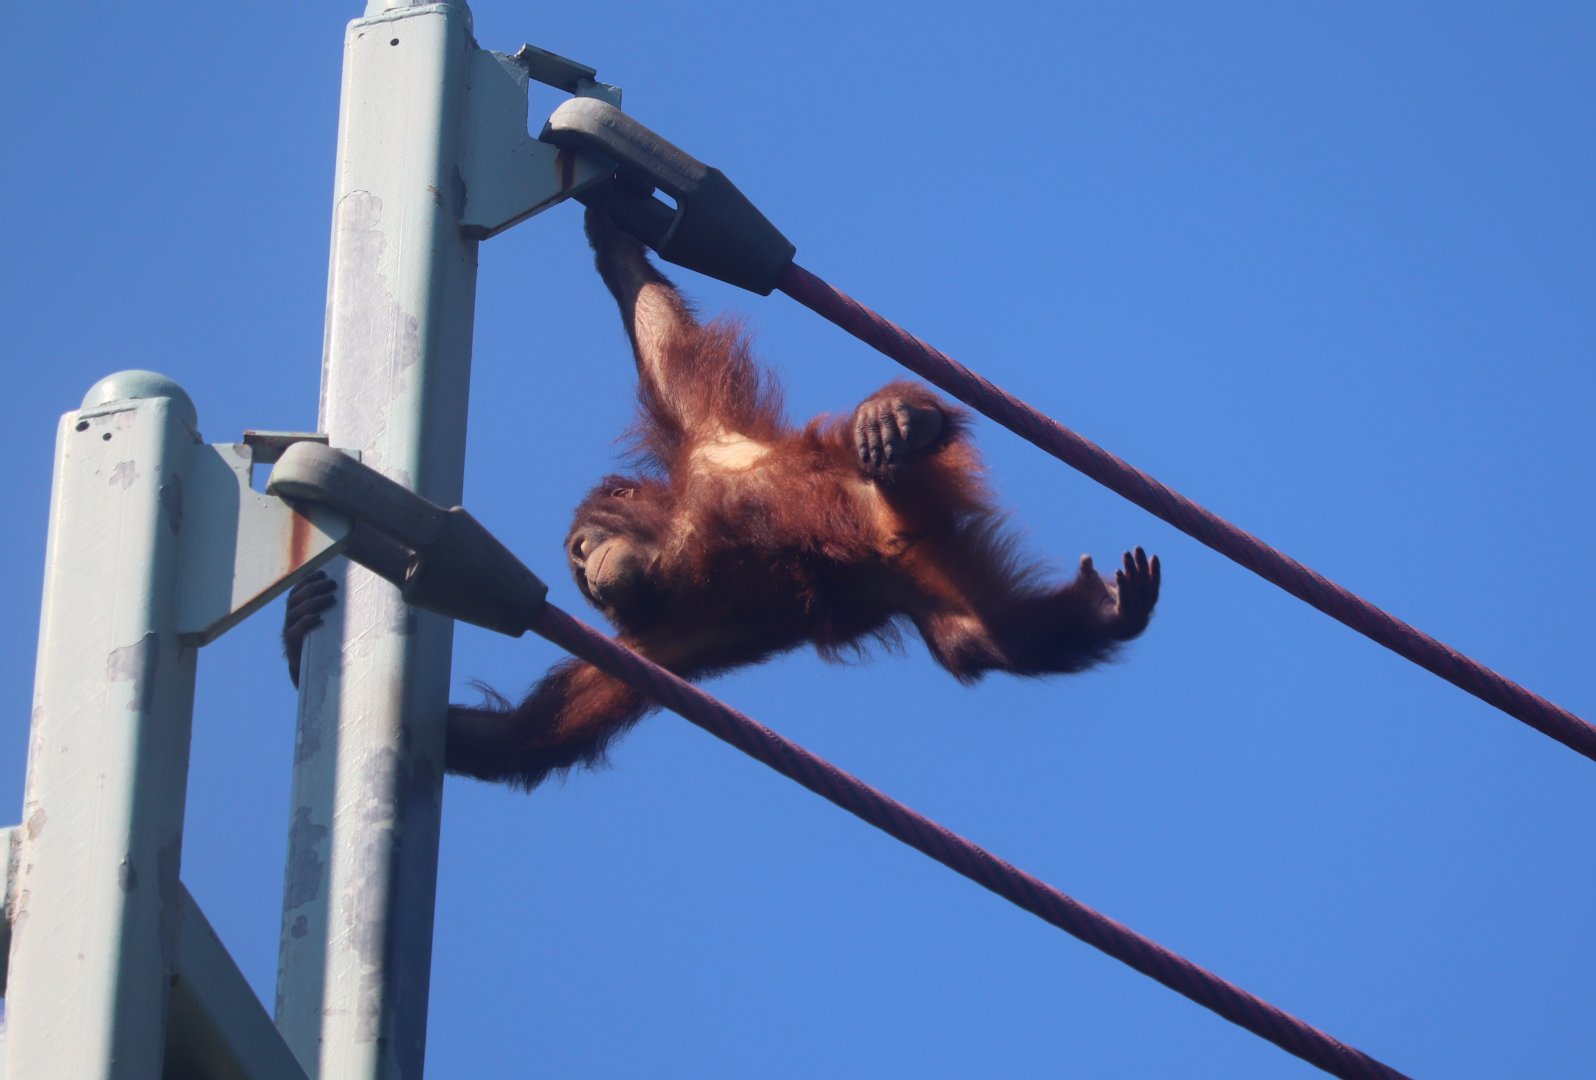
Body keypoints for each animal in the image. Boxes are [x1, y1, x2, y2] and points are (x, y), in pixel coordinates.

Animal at [284, 193, 1160, 790]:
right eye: (575, 571)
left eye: (581, 547)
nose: (585, 573)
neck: (691, 546)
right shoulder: (651, 646)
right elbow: (529, 737)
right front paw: (299, 636)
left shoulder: (708, 437)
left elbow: (658, 328)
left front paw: (610, 221)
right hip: (916, 568)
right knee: (978, 638)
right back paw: (1107, 613)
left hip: (896, 498)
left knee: (891, 454)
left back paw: (900, 419)